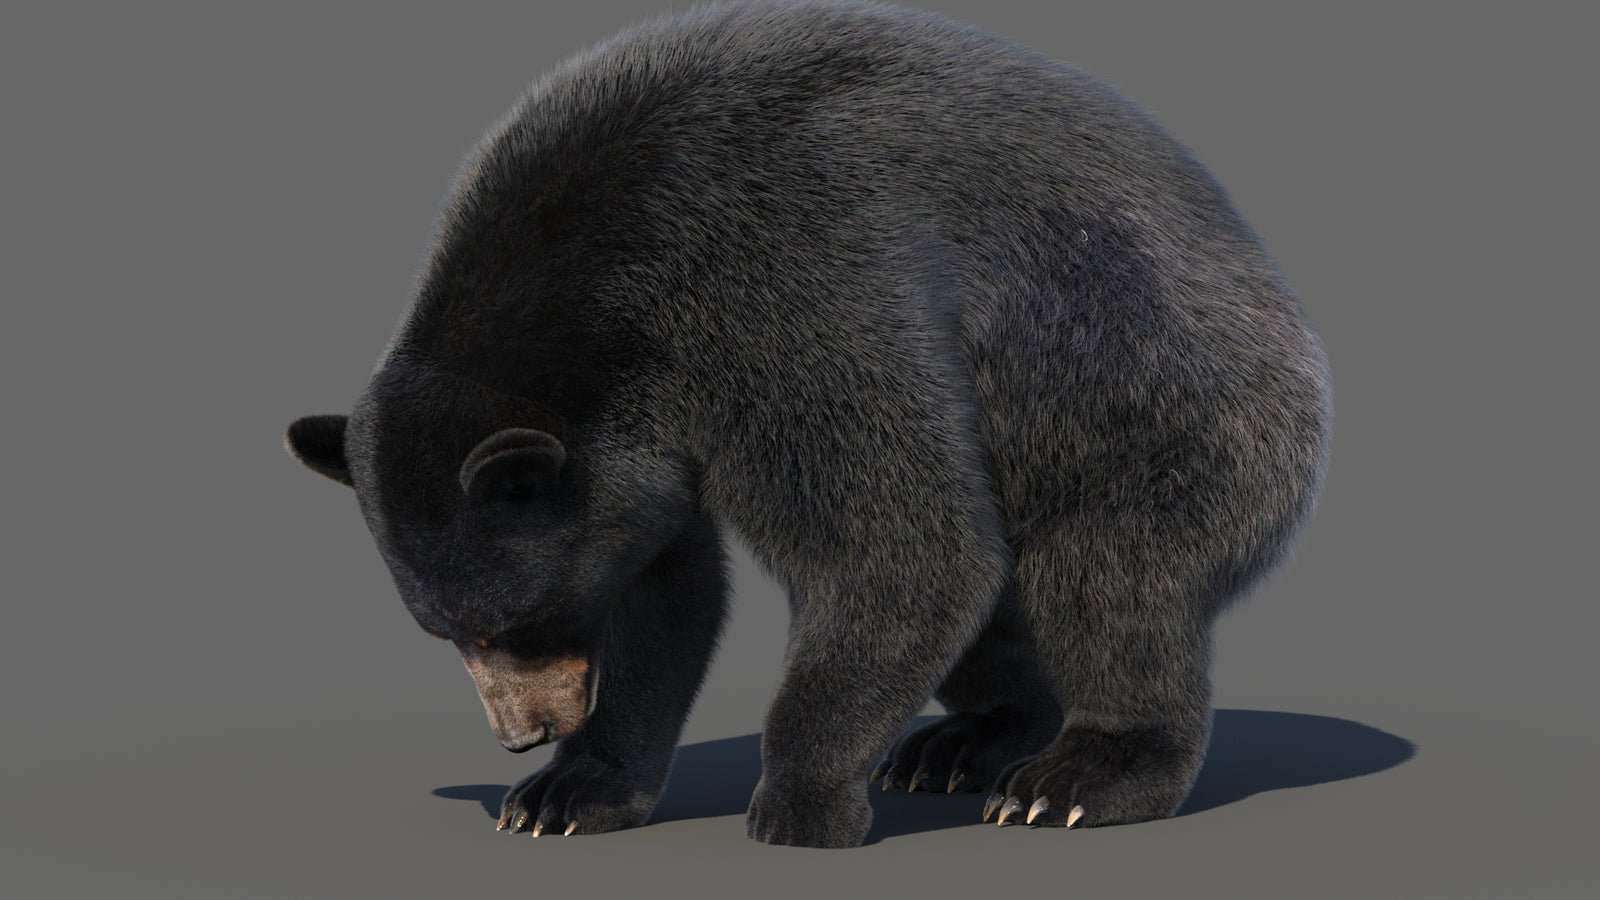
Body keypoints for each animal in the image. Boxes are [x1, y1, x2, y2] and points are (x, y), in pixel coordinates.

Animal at [285, 0, 1331, 849]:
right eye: (444, 631)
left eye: (516, 622)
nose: (522, 735)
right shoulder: (639, 431)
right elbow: (664, 588)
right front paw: (566, 793)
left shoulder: (788, 287)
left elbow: (899, 543)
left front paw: (800, 803)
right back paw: (962, 742)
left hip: (1163, 406)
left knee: (1111, 580)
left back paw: (1076, 777)